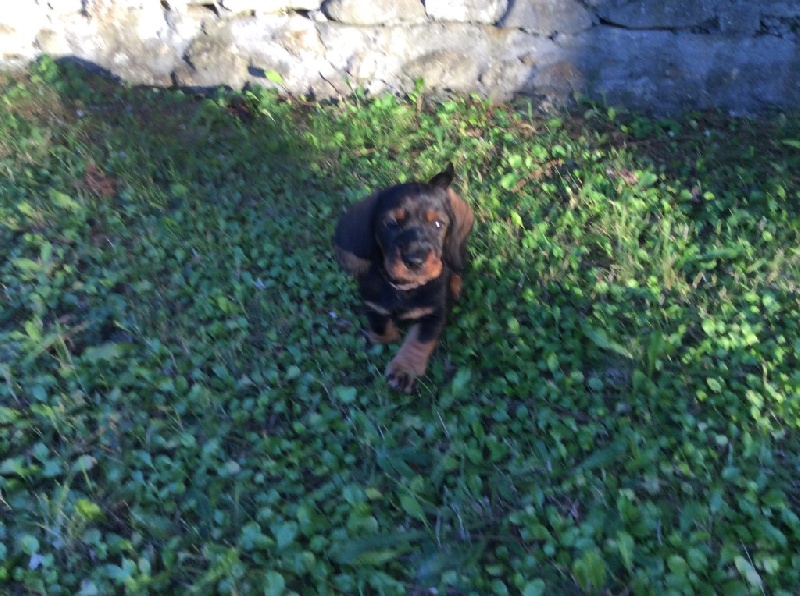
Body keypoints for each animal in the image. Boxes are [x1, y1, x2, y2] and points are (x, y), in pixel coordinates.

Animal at [334, 163, 474, 392]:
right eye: (391, 223)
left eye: (438, 224)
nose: (414, 260)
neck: (404, 289)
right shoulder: (373, 305)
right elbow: (380, 326)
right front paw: (382, 339)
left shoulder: (434, 314)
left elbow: (418, 341)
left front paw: (404, 370)